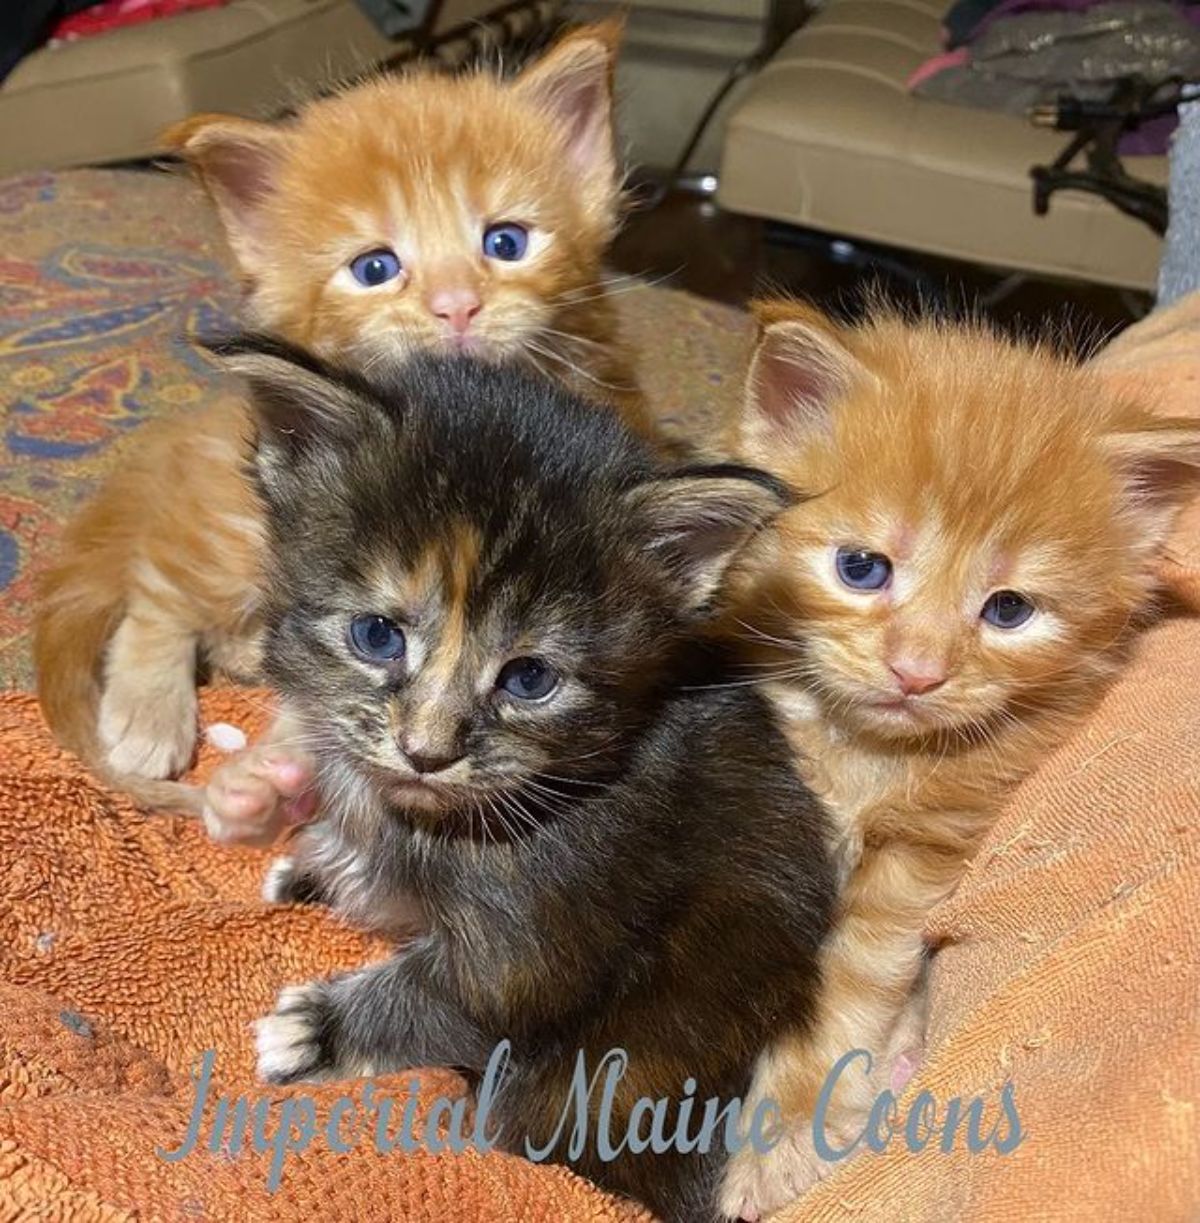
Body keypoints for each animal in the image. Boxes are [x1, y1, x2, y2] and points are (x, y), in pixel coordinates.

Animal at [37, 23, 655, 807]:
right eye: (375, 268)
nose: (457, 305)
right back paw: (148, 709)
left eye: (506, 242)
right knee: (161, 585)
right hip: (231, 521)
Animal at [217, 339, 831, 1223]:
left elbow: (448, 997)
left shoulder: (541, 946)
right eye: (377, 634)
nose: (426, 751)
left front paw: (314, 1030)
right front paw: (317, 865)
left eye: (530, 678)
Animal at [714, 300, 1193, 1218]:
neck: (865, 755)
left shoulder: (924, 849)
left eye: (1008, 610)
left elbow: (853, 981)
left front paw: (786, 1131)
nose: (917, 671)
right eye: (861, 567)